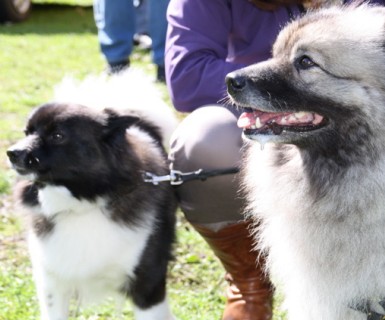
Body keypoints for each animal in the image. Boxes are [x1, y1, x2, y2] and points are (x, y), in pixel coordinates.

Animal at [6, 70, 177, 320]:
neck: (82, 204)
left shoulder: (148, 284)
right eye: (27, 132)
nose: (12, 153)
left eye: (58, 136)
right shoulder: (51, 283)